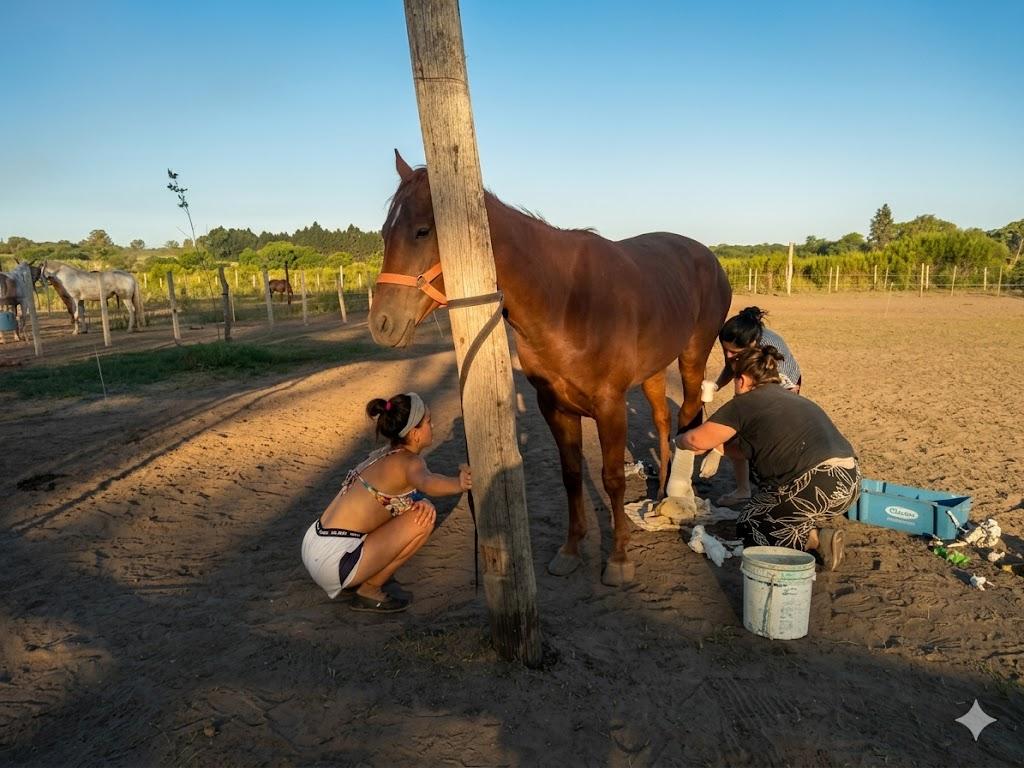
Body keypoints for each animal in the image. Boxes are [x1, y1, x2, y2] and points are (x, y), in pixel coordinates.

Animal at [370, 151, 732, 586]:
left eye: (422, 231)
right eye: (385, 233)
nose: (381, 323)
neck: (565, 301)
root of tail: (709, 257)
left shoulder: (609, 405)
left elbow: (611, 479)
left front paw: (619, 559)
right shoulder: (554, 406)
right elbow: (571, 475)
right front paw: (571, 550)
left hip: (692, 358)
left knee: (689, 417)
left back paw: (682, 495)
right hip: (654, 371)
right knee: (663, 423)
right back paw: (660, 495)